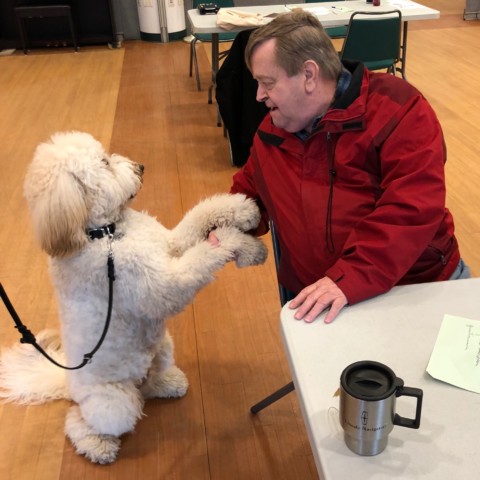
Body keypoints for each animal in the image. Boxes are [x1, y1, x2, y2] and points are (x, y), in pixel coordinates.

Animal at [0, 130, 266, 462]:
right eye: (104, 162)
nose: (140, 167)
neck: (108, 233)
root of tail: (69, 385)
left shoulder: (168, 244)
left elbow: (199, 215)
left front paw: (243, 210)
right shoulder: (164, 285)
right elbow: (204, 255)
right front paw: (237, 242)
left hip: (161, 347)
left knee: (147, 386)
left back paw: (168, 383)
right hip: (113, 404)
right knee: (79, 421)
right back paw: (98, 446)